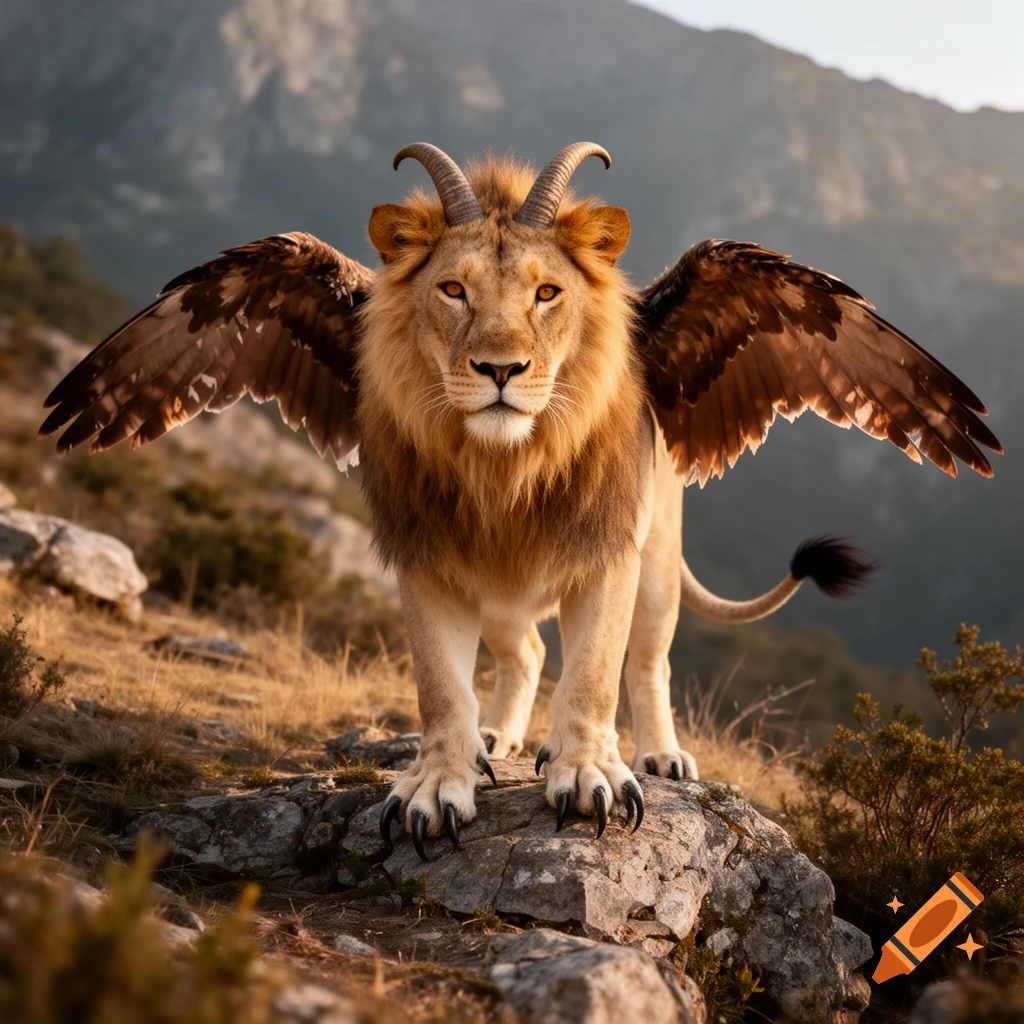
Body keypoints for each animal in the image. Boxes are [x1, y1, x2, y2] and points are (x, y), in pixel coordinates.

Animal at [39, 142, 1002, 860]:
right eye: (452, 288)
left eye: (548, 291)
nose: (498, 369)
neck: (506, 469)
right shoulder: (425, 555)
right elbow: (439, 684)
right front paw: (439, 784)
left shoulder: (607, 551)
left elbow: (595, 678)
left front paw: (589, 775)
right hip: (498, 594)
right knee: (525, 655)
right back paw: (496, 740)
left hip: (658, 561)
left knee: (645, 663)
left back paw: (656, 753)